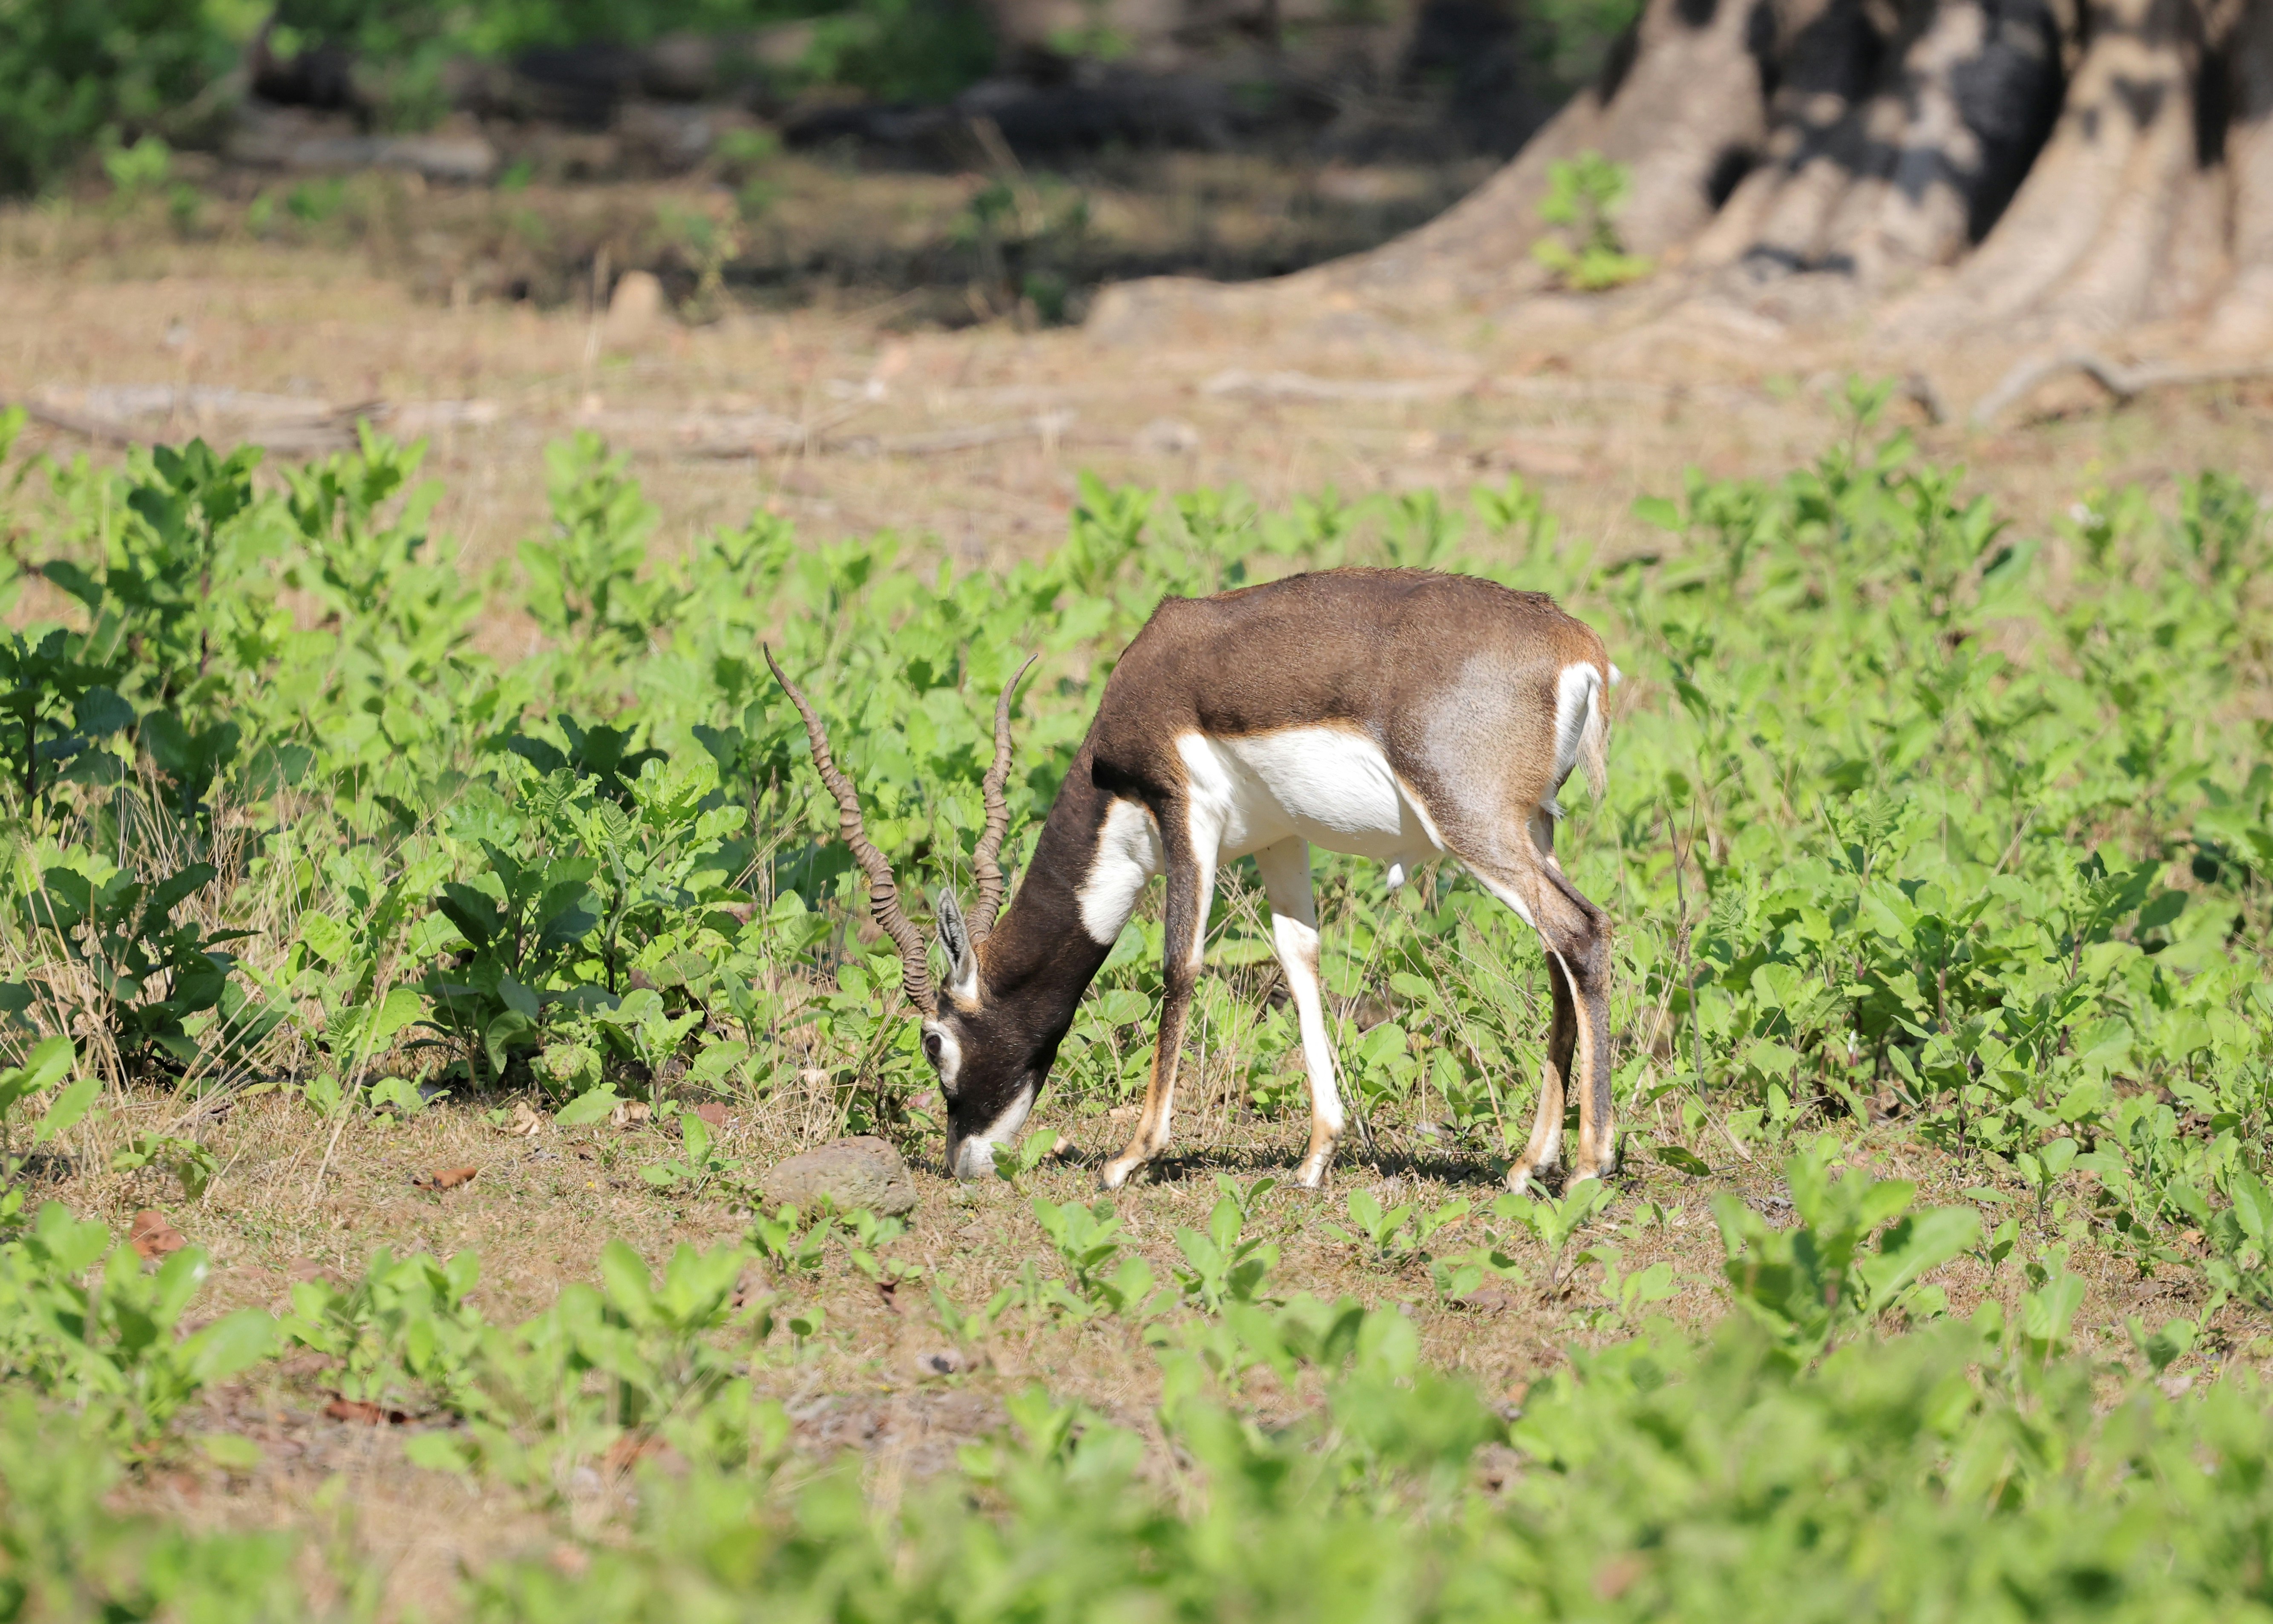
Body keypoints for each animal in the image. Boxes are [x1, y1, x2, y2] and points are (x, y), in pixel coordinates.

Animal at [763, 566, 1618, 1194]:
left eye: (933, 1040)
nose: (961, 1163)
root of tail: (1573, 644)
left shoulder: (1184, 815)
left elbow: (1180, 966)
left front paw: (1129, 1158)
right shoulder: (1280, 839)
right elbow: (1299, 961)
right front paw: (1315, 1158)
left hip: (1473, 826)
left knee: (1581, 931)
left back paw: (1587, 1166)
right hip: (1533, 829)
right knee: (1557, 956)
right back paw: (1527, 1165)